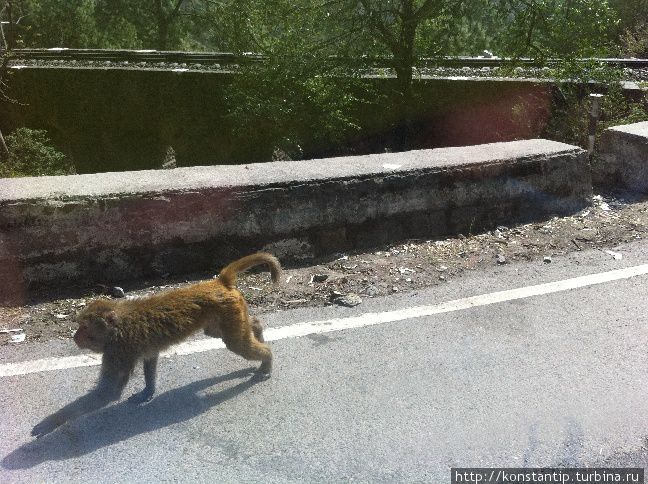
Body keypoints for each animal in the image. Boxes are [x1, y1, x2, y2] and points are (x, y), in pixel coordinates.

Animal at [31, 253, 280, 438]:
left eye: (84, 327)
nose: (75, 336)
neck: (118, 327)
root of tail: (219, 282)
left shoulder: (119, 350)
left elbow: (108, 392)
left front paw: (50, 422)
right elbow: (149, 359)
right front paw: (147, 392)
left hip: (227, 310)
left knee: (236, 343)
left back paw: (266, 358)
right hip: (223, 313)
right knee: (222, 333)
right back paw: (257, 328)